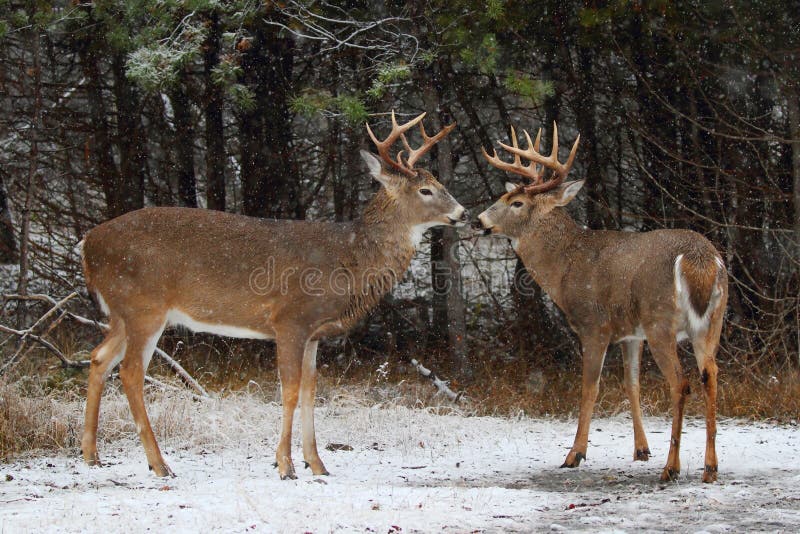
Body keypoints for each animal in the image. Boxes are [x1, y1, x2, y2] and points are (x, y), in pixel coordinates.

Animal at [78, 112, 466, 482]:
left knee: (99, 358)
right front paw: (285, 465)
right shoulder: (289, 319)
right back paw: (159, 464)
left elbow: (311, 390)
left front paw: (317, 464)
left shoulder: (314, 332)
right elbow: (289, 390)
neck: (349, 260)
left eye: (440, 184)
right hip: (144, 307)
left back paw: (92, 455)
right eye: (426, 190)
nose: (462, 213)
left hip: (122, 312)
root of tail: (86, 244)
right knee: (130, 372)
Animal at [478, 123, 728, 484]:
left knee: (681, 383)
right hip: (711, 322)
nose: (479, 220)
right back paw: (709, 467)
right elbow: (631, 383)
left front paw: (574, 454)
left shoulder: (593, 325)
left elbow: (589, 387)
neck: (565, 265)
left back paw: (672, 467)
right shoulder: (631, 333)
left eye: (517, 202)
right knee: (711, 374)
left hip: (660, 321)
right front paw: (641, 450)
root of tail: (701, 260)